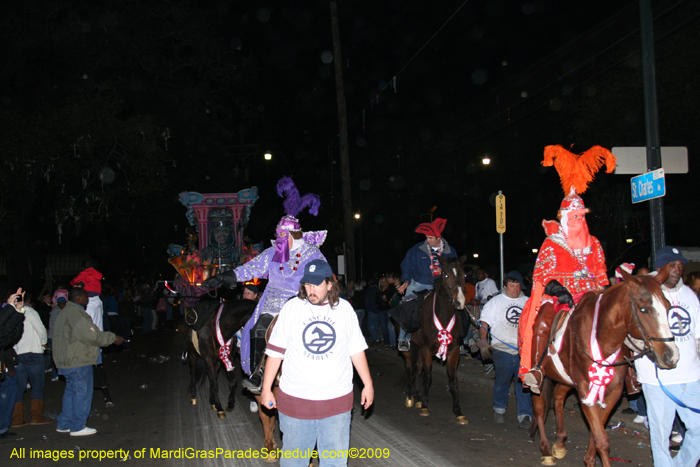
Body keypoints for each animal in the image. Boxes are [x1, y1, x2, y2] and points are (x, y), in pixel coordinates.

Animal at [402, 254, 468, 426]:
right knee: (410, 367)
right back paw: (410, 397)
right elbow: (427, 377)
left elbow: (453, 381)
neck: (442, 315)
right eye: (446, 275)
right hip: (410, 348)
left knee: (417, 369)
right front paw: (425, 406)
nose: (460, 302)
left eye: (464, 274)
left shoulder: (453, 351)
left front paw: (458, 412)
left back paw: (418, 397)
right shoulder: (427, 349)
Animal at [532, 266, 680, 466]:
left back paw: (560, 443)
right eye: (644, 309)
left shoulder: (613, 391)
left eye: (668, 306)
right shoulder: (585, 390)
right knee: (540, 408)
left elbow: (597, 434)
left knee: (558, 398)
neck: (603, 338)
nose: (671, 356)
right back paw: (546, 450)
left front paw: (589, 459)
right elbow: (602, 439)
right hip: (538, 377)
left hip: (565, 378)